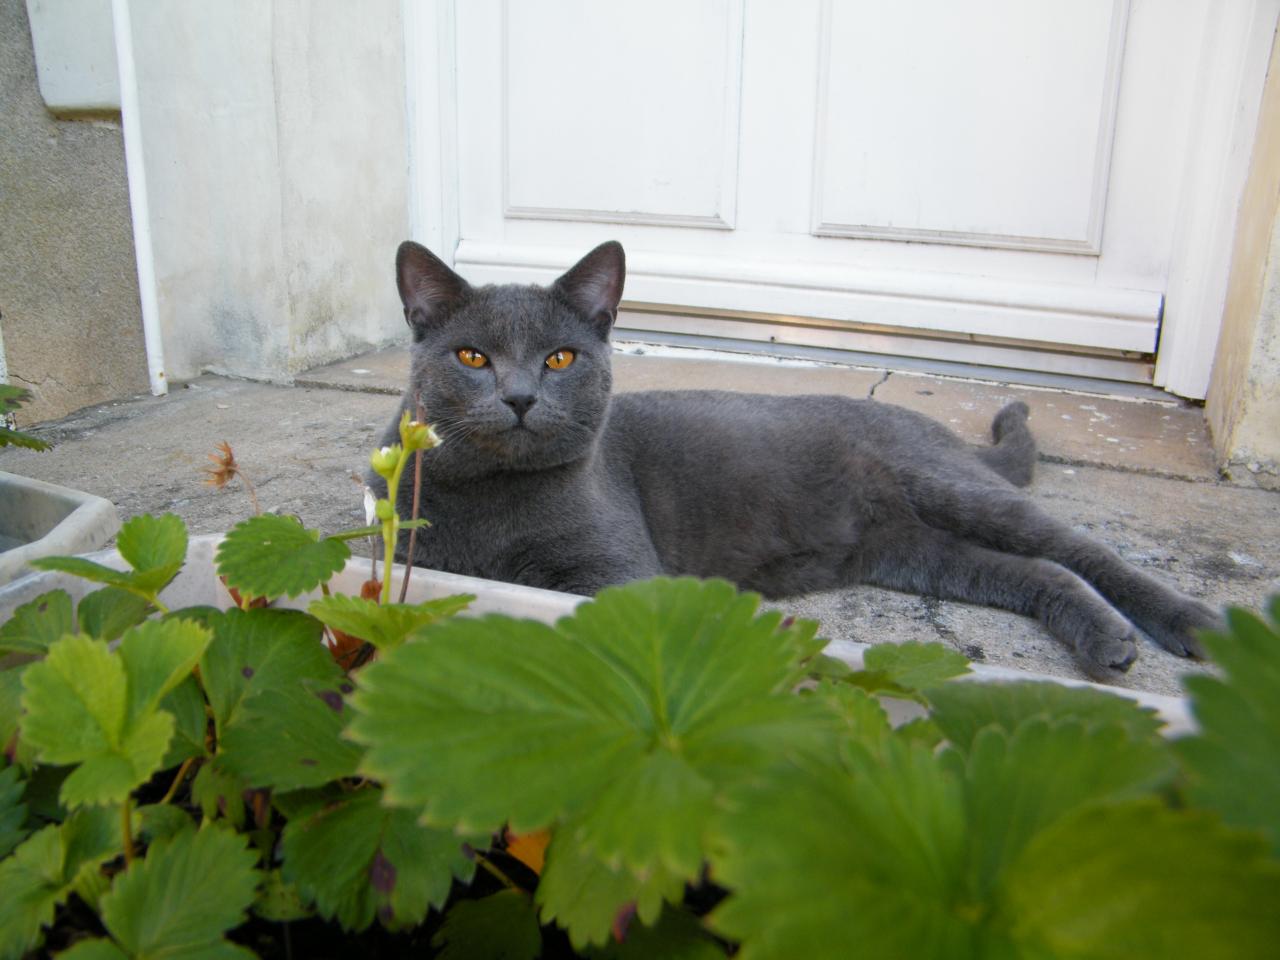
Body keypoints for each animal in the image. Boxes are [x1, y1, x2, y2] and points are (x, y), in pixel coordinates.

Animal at [373, 239, 1218, 675]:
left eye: (558, 359)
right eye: (473, 357)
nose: (518, 396)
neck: (494, 498)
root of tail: (940, 431)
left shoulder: (619, 573)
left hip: (949, 488)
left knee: (1080, 551)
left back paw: (1185, 627)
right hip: (916, 551)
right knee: (1037, 571)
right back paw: (1104, 641)